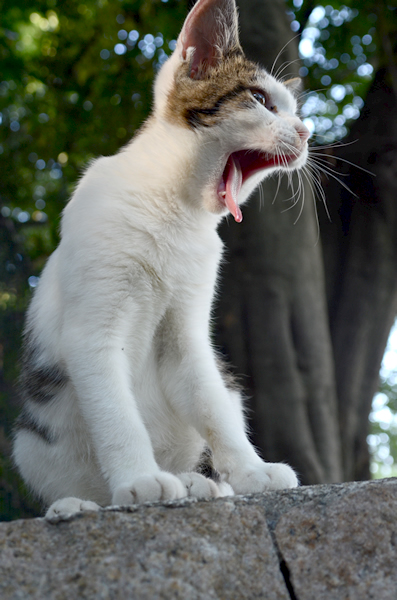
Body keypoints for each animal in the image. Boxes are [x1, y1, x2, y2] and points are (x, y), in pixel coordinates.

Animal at [13, 0, 310, 516]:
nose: (307, 132)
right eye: (260, 99)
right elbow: (116, 413)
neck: (176, 212)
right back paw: (79, 504)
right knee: (79, 482)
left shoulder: (188, 336)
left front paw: (251, 471)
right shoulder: (91, 332)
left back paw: (196, 482)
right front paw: (138, 480)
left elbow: (211, 405)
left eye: (295, 112)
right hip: (29, 441)